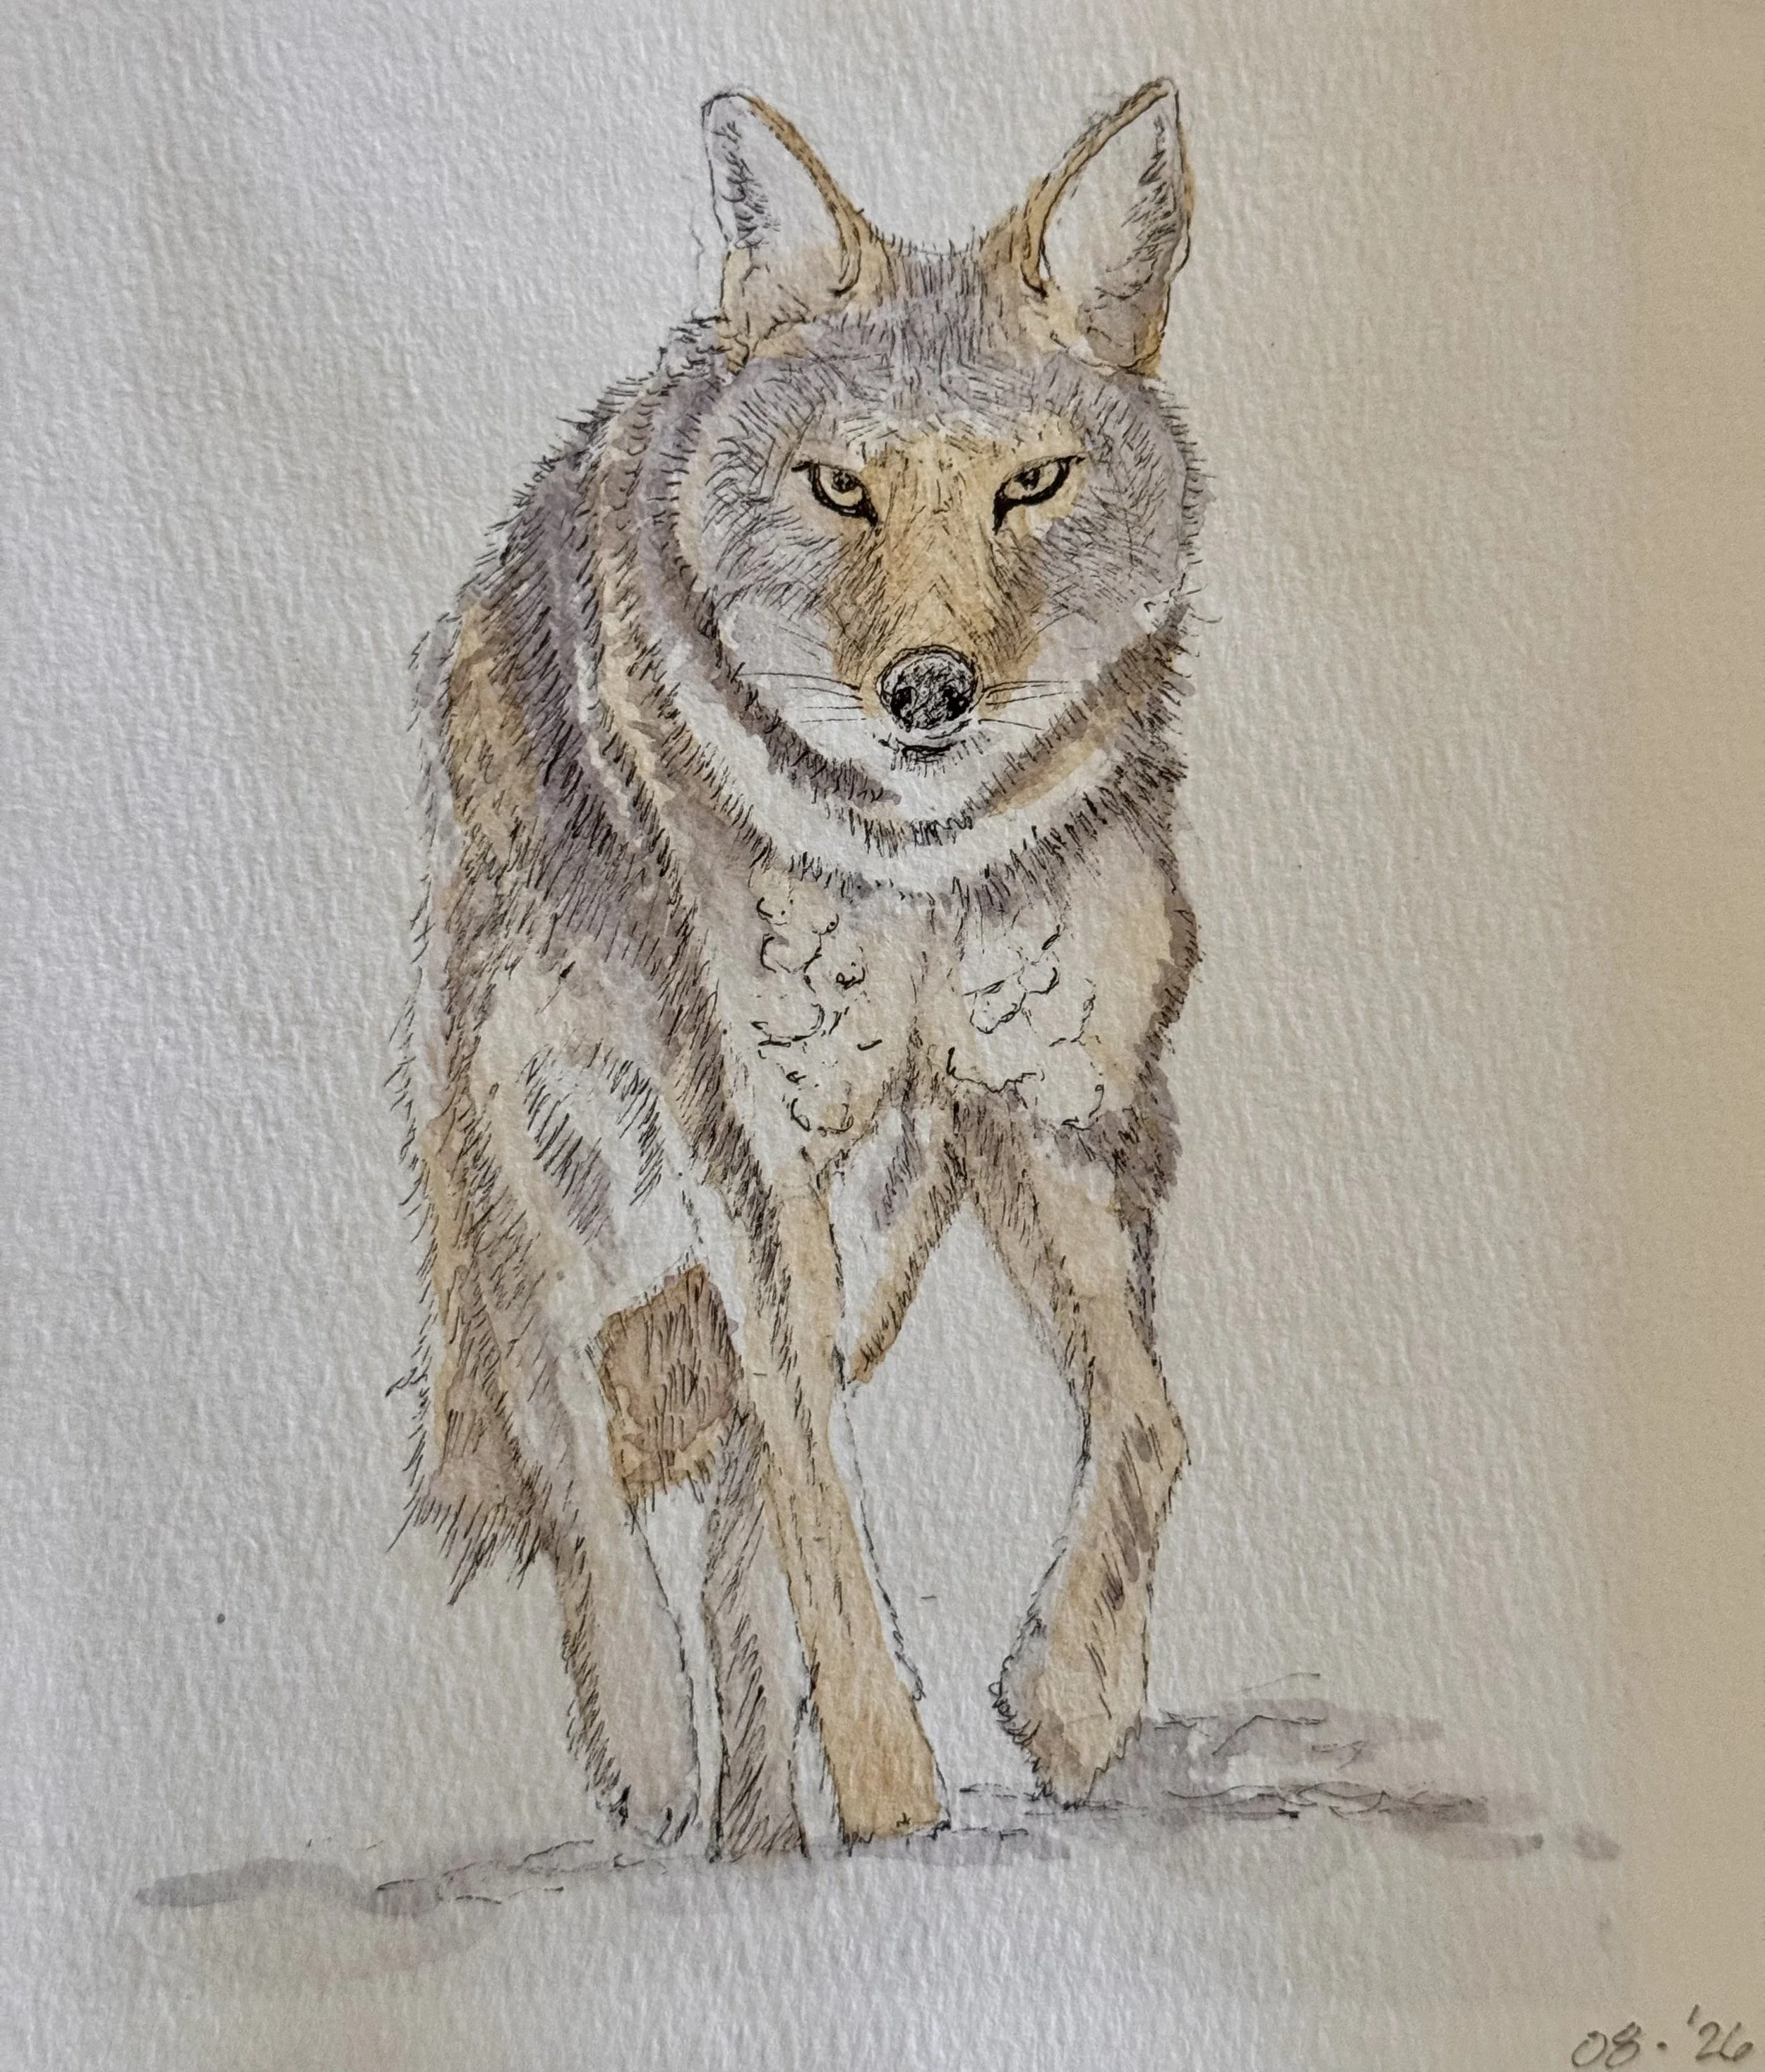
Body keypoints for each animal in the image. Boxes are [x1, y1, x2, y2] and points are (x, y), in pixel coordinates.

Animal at [400, 79, 1204, 1859]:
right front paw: (897, 1797)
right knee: (573, 1441)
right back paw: (647, 1757)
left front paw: (1071, 1698)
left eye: (1030, 485)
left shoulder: (1057, 1123)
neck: (922, 865)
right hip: (582, 1192)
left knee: (743, 1512)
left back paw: (761, 1834)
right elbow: (817, 1524)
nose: (928, 693)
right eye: (840, 488)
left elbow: (1142, 1418)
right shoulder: (755, 1162)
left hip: (882, 1217)